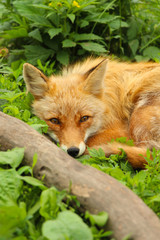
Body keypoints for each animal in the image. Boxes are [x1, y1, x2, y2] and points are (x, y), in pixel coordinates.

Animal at [22, 57, 160, 168]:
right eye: (54, 121)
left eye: (84, 118)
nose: (73, 151)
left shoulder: (121, 133)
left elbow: (91, 143)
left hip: (139, 116)